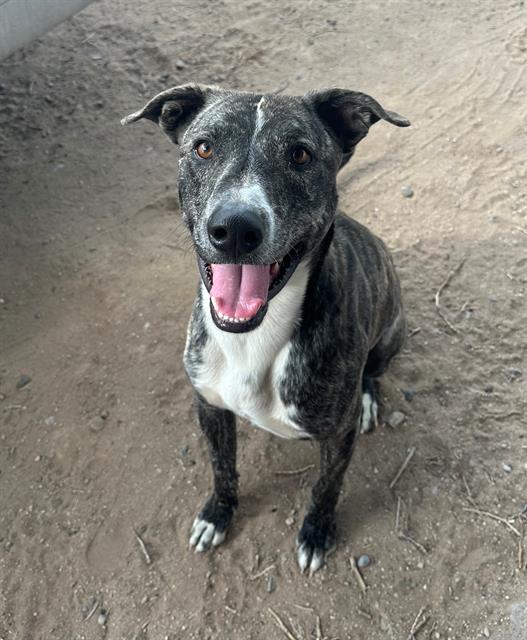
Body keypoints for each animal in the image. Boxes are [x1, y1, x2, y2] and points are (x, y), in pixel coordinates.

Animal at [121, 85, 410, 576]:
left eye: (300, 154)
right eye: (204, 148)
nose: (235, 228)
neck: (252, 338)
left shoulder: (337, 436)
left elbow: (326, 487)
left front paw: (316, 532)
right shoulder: (209, 406)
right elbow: (222, 467)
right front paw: (217, 514)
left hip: (392, 332)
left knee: (374, 371)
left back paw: (370, 398)